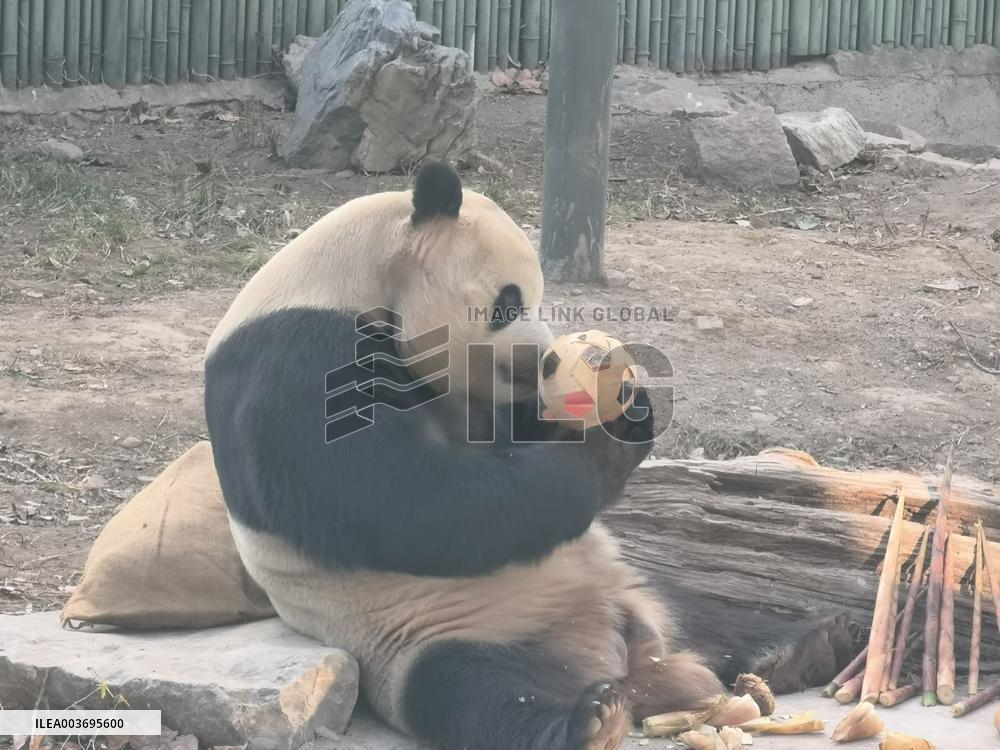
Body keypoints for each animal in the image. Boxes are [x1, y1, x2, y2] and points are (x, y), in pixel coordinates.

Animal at [204, 162, 847, 750]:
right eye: (507, 303)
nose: (542, 360)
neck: (349, 278)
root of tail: (630, 665)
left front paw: (627, 407)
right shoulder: (299, 362)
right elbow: (408, 502)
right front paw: (602, 447)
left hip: (632, 581)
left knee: (703, 611)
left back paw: (801, 646)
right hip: (424, 634)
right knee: (475, 692)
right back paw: (588, 722)